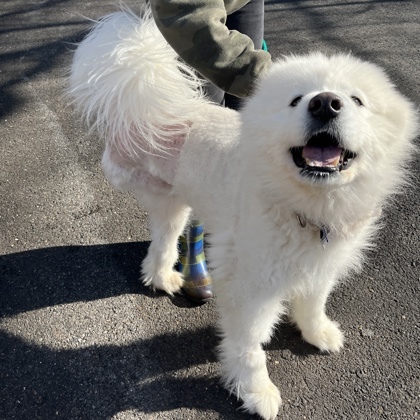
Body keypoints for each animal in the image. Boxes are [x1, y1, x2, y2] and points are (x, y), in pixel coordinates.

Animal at [69, 9, 416, 420]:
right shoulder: (251, 287)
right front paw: (255, 391)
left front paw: (317, 333)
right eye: (296, 100)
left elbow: (314, 303)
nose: (325, 103)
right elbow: (249, 346)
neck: (305, 203)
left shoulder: (321, 263)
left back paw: (162, 278)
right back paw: (167, 279)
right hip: (167, 199)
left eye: (356, 100)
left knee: (160, 245)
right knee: (165, 240)